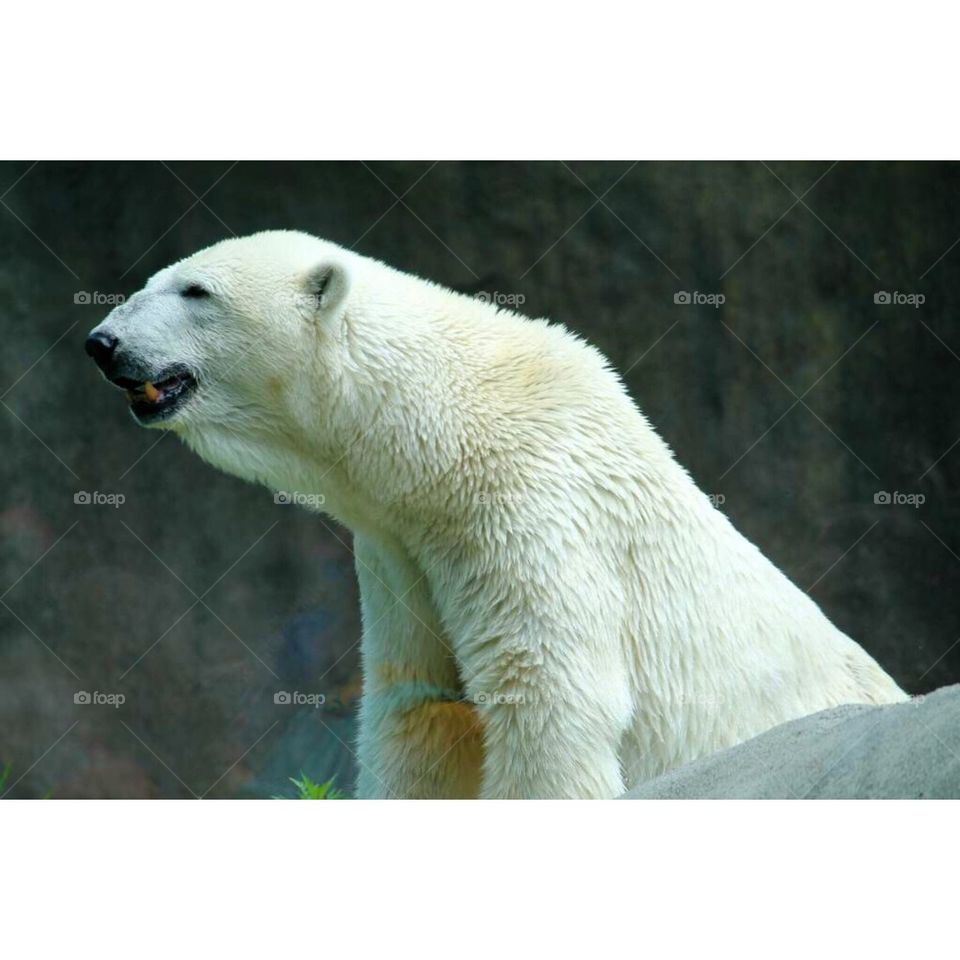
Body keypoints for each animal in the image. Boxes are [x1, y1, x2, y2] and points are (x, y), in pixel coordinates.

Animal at [85, 230, 908, 799]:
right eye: (153, 279)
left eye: (196, 290)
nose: (102, 341)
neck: (441, 436)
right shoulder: (399, 549)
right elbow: (421, 707)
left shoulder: (530, 505)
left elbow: (547, 699)